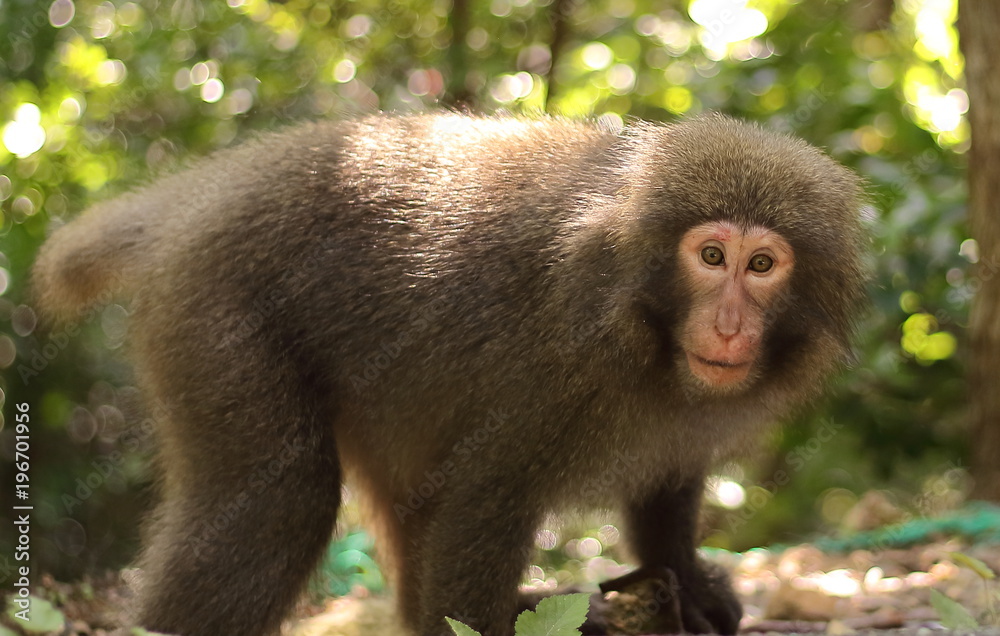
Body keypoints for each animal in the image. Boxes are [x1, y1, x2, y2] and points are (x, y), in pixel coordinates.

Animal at [33, 113, 866, 636]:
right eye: (712, 256)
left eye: (763, 265)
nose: (728, 325)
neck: (639, 315)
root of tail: (199, 199)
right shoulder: (558, 363)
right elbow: (484, 503)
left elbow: (667, 478)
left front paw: (681, 574)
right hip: (213, 316)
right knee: (282, 499)